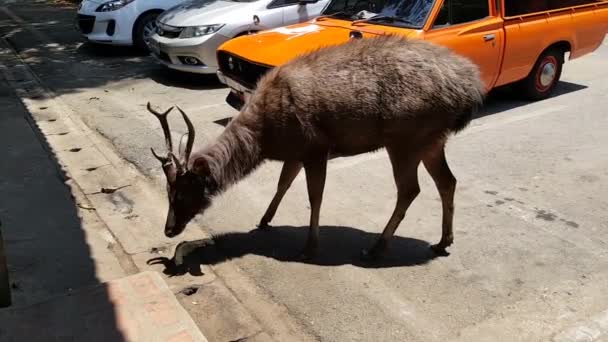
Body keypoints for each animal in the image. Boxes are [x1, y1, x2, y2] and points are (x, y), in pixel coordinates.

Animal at [146, 34, 484, 260]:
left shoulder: (315, 147)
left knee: (410, 189)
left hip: (405, 137)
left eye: (182, 193)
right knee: (447, 181)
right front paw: (265, 220)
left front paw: (310, 245)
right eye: (168, 191)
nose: (168, 230)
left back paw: (376, 247)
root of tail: (472, 89)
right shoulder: (296, 152)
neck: (266, 139)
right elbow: (282, 184)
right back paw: (442, 241)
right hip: (432, 139)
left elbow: (314, 196)